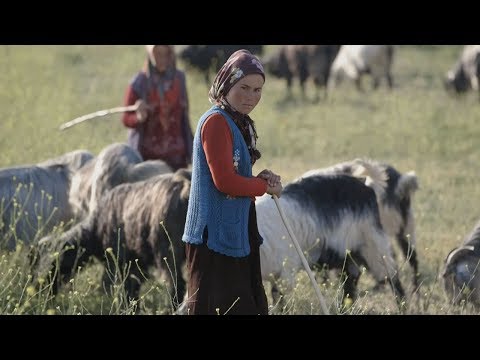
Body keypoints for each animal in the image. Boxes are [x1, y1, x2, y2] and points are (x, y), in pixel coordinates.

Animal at [35, 169, 191, 310]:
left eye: (55, 262)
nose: (42, 292)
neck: (94, 230)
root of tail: (185, 186)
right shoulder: (136, 261)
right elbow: (133, 286)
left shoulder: (121, 259)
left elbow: (128, 287)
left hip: (167, 251)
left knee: (176, 283)